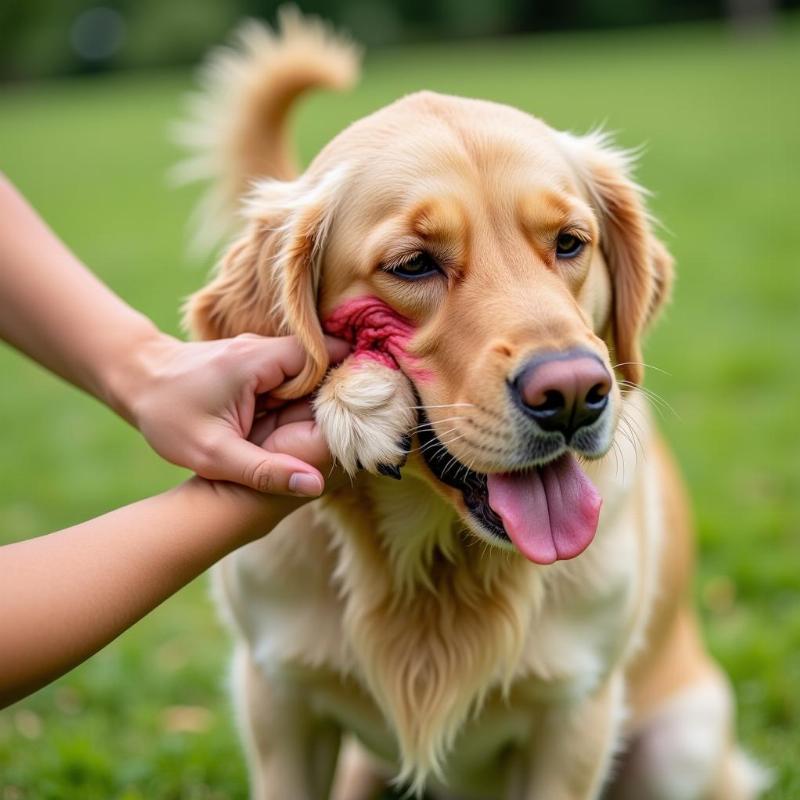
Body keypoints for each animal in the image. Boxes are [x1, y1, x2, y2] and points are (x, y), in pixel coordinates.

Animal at [180, 10, 768, 800]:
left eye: (570, 243)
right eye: (412, 264)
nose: (573, 396)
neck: (438, 568)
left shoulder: (574, 716)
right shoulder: (278, 698)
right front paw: (363, 403)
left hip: (684, 741)